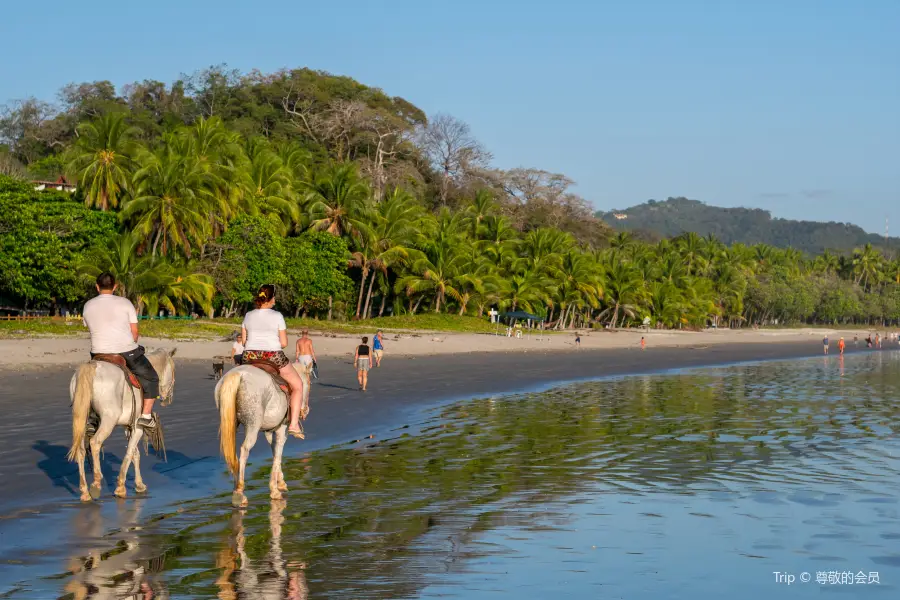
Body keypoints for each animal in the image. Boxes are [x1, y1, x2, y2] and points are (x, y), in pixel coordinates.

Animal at [67, 346, 176, 502]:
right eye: (173, 371)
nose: (168, 399)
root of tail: (92, 366)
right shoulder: (137, 427)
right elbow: (130, 452)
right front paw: (120, 488)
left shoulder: (127, 427)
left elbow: (135, 454)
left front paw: (139, 484)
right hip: (108, 421)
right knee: (95, 442)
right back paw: (96, 484)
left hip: (81, 421)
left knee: (81, 450)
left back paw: (84, 491)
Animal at [215, 360, 312, 506]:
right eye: (309, 384)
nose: (306, 410)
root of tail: (239, 374)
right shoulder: (281, 429)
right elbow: (278, 453)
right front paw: (275, 490)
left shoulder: (269, 431)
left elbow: (274, 451)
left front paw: (280, 482)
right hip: (253, 425)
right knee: (244, 449)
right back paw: (239, 492)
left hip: (230, 423)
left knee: (232, 452)